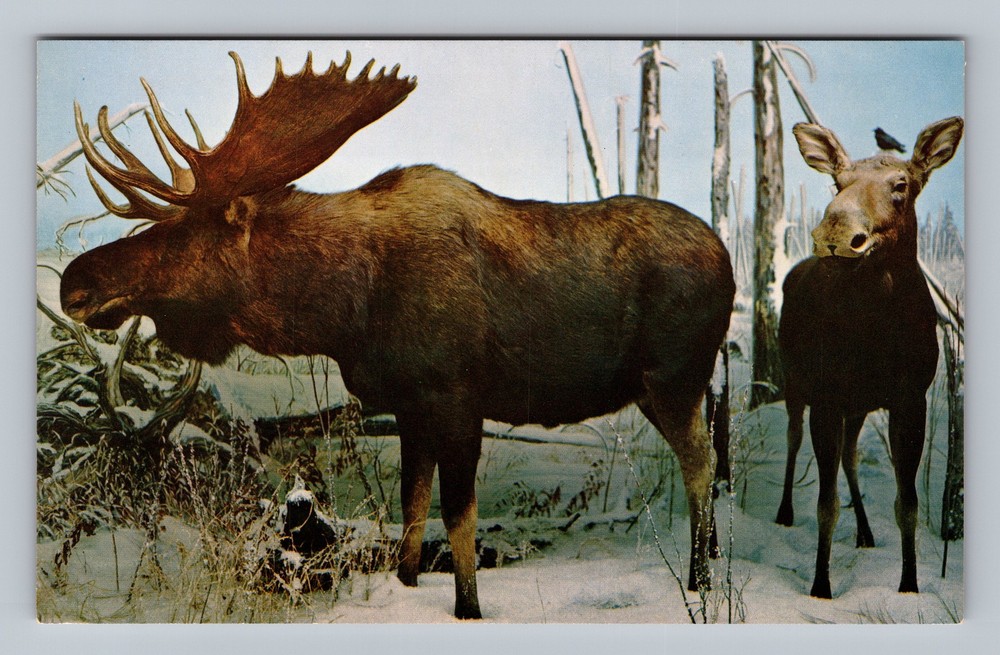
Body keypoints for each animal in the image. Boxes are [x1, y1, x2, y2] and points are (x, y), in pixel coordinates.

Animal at [60, 51, 736, 619]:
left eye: (178, 234)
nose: (73, 282)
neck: (344, 315)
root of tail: (729, 260)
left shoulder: (458, 396)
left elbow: (458, 517)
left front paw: (469, 608)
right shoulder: (410, 405)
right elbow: (412, 507)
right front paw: (408, 585)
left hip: (674, 375)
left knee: (701, 462)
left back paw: (701, 580)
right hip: (671, 386)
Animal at [775, 117, 963, 598]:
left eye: (901, 184)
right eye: (837, 183)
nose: (836, 234)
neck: (877, 333)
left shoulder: (910, 398)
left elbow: (907, 503)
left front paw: (909, 584)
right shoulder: (827, 396)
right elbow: (825, 504)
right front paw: (820, 586)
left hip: (857, 406)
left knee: (851, 457)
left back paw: (865, 531)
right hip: (795, 382)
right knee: (792, 439)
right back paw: (784, 512)